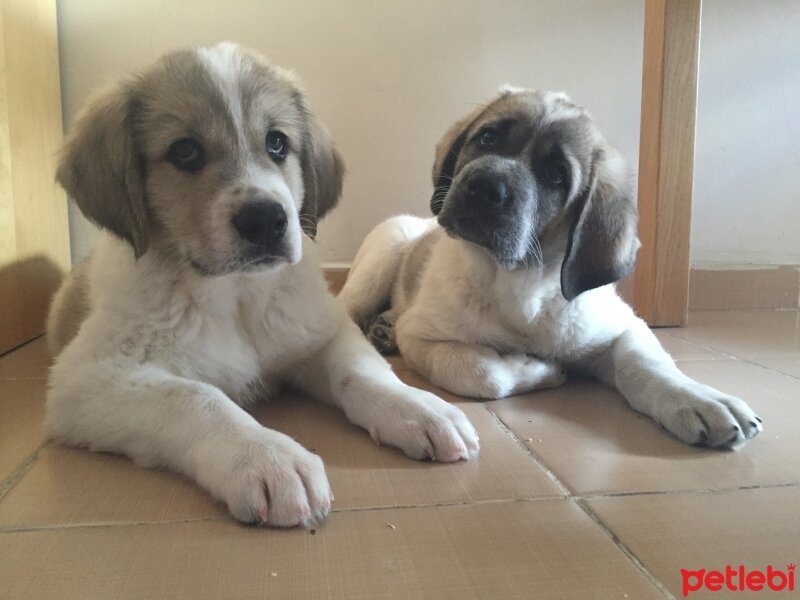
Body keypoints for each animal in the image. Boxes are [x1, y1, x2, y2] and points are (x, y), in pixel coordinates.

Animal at [47, 44, 478, 528]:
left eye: (277, 143)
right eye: (184, 151)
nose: (266, 220)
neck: (236, 296)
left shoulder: (324, 331)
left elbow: (363, 372)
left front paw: (417, 407)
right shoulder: (87, 377)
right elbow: (194, 396)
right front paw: (268, 456)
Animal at [342, 86, 764, 448]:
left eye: (556, 175)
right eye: (487, 139)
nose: (485, 187)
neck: (520, 285)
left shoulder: (625, 325)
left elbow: (648, 363)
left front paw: (697, 398)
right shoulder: (421, 336)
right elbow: (481, 372)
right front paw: (537, 368)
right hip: (384, 252)